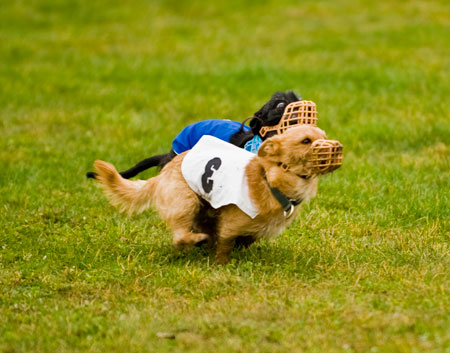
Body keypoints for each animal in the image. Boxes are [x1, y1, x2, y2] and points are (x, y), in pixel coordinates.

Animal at [94, 125, 342, 262]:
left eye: (324, 135)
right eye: (306, 141)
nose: (337, 147)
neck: (271, 179)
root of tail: (161, 175)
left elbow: (247, 239)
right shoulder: (231, 224)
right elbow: (225, 244)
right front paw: (221, 264)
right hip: (186, 201)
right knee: (179, 235)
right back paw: (196, 240)